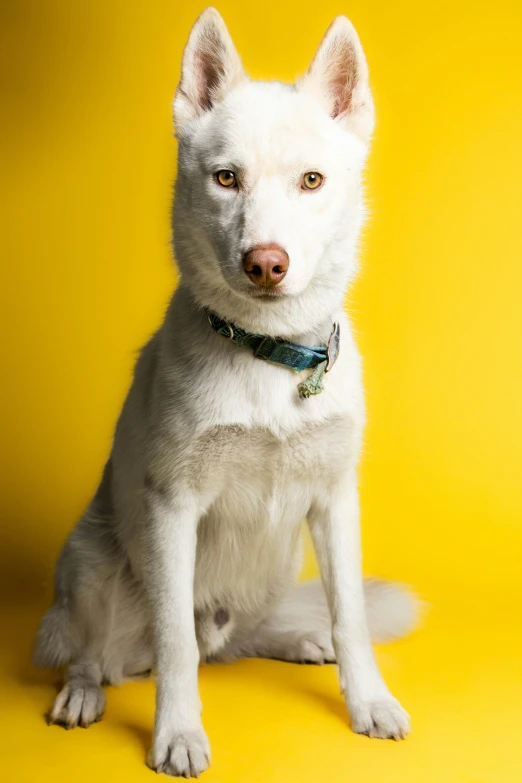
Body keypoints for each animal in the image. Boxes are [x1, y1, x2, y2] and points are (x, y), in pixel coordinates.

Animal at [33, 9, 418, 780]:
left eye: (311, 180)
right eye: (226, 178)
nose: (265, 262)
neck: (270, 356)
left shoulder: (335, 502)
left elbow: (351, 617)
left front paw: (367, 700)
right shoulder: (172, 507)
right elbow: (176, 646)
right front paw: (177, 732)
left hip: (280, 562)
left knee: (245, 637)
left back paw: (297, 640)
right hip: (88, 561)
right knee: (102, 650)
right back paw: (84, 692)